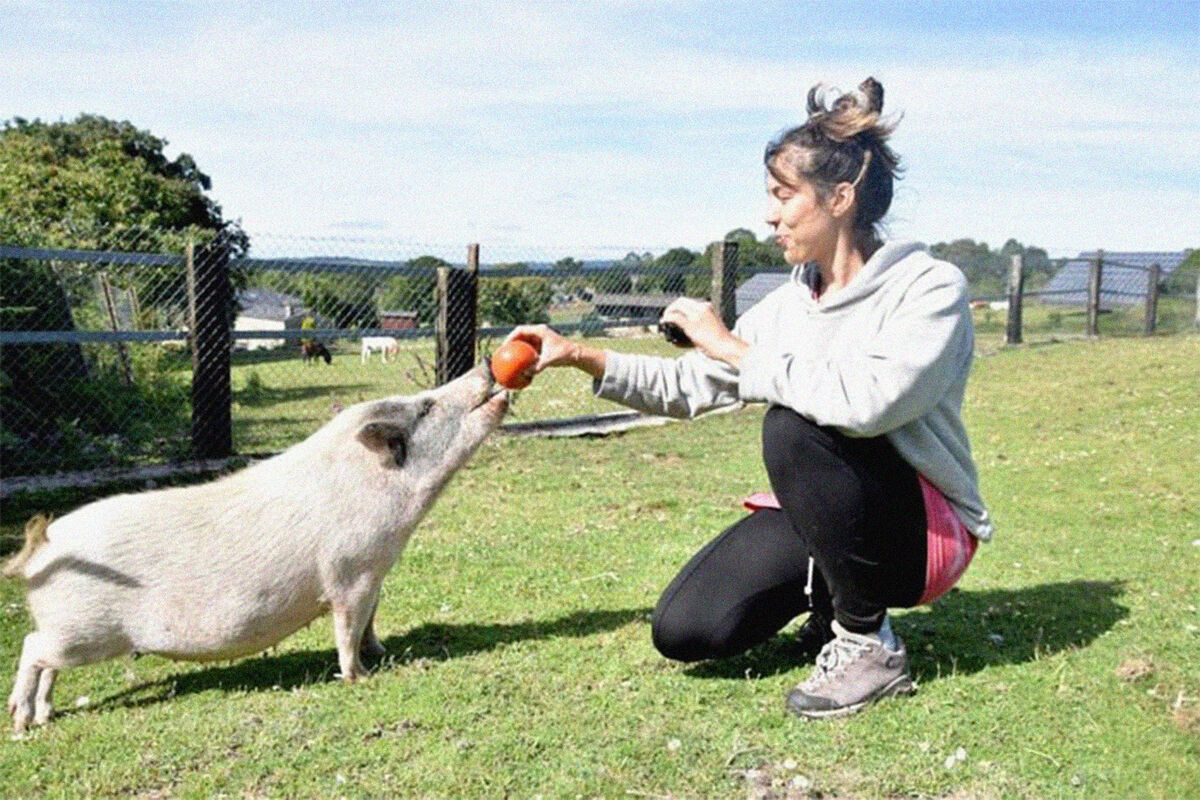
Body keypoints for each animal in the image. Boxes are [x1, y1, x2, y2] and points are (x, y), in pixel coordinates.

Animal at [2, 367, 506, 734]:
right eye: (426, 406)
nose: (485, 365)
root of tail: (43, 549)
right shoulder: (350, 574)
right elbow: (347, 628)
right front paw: (360, 676)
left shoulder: (374, 575)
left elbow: (370, 621)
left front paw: (382, 652)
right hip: (83, 632)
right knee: (31, 649)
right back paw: (21, 723)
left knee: (46, 664)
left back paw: (44, 716)